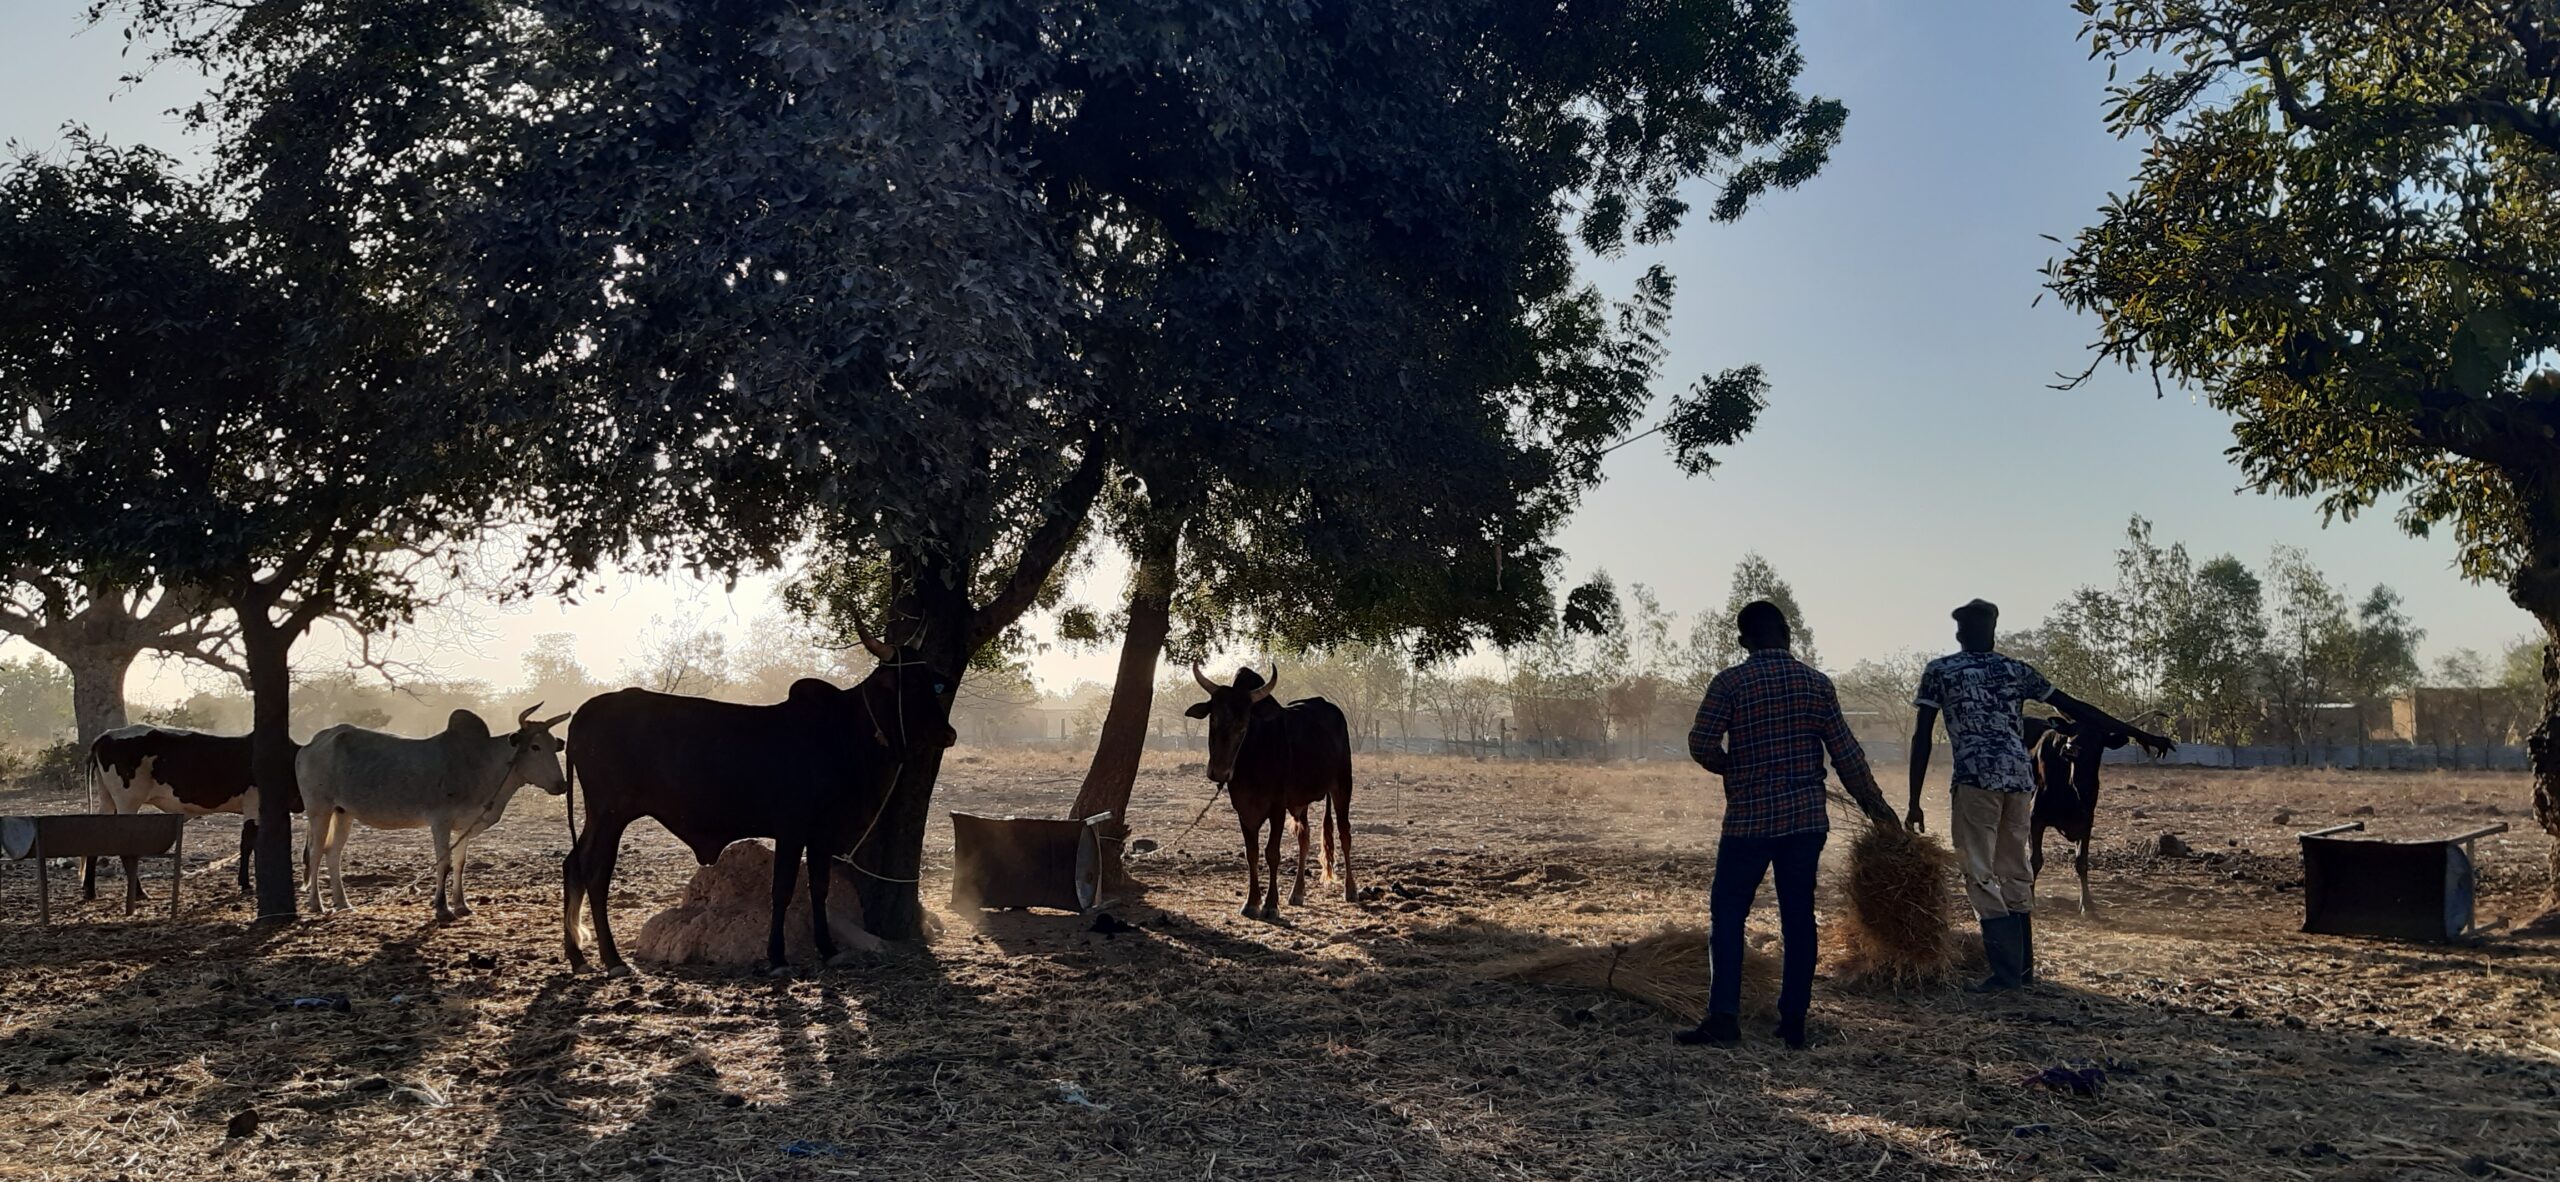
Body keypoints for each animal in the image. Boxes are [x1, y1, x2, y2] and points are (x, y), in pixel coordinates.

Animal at [85, 726, 302, 910]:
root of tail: (107, 735)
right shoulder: (252, 804)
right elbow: (248, 844)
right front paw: (245, 883)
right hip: (127, 801)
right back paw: (138, 891)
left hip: (108, 801)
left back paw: (89, 890)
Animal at [563, 614, 962, 972]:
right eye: (906, 684)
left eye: (933, 682)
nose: (949, 733)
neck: (846, 733)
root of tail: (583, 713)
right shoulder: (792, 829)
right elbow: (782, 890)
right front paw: (777, 957)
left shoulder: (822, 834)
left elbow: (819, 888)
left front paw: (827, 948)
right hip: (610, 814)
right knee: (595, 873)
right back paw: (611, 959)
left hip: (599, 817)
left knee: (573, 865)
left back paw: (578, 956)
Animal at [1182, 665, 1361, 921]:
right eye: (1213, 718)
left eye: (1244, 724)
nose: (1219, 772)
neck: (1252, 756)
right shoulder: (1244, 810)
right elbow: (1252, 853)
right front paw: (1251, 902)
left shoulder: (1277, 807)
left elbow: (1272, 853)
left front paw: (1270, 904)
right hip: (1301, 802)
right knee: (1304, 838)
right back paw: (1297, 893)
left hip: (1343, 786)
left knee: (1345, 835)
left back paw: (1351, 889)